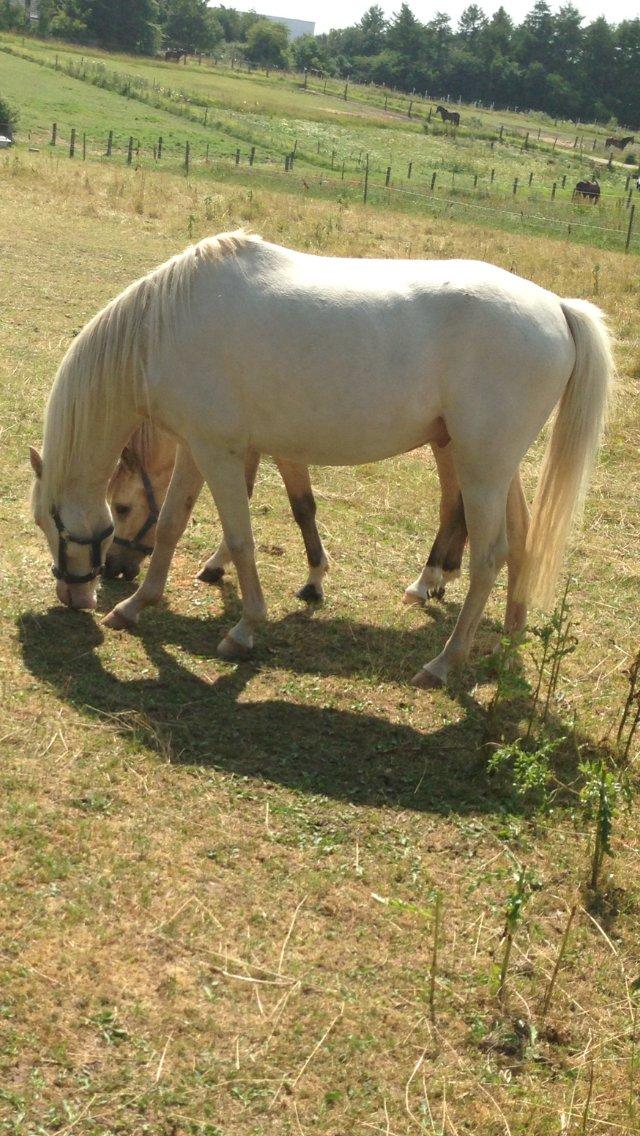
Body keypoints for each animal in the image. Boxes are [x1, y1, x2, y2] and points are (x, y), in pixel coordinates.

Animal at [31, 230, 613, 681]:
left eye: (120, 508)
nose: (78, 594)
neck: (167, 328)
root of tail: (557, 308)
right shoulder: (199, 450)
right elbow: (175, 523)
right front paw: (135, 608)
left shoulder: (220, 453)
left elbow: (241, 538)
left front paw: (244, 628)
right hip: (490, 465)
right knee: (521, 541)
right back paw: (508, 648)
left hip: (481, 468)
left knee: (489, 556)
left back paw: (444, 662)